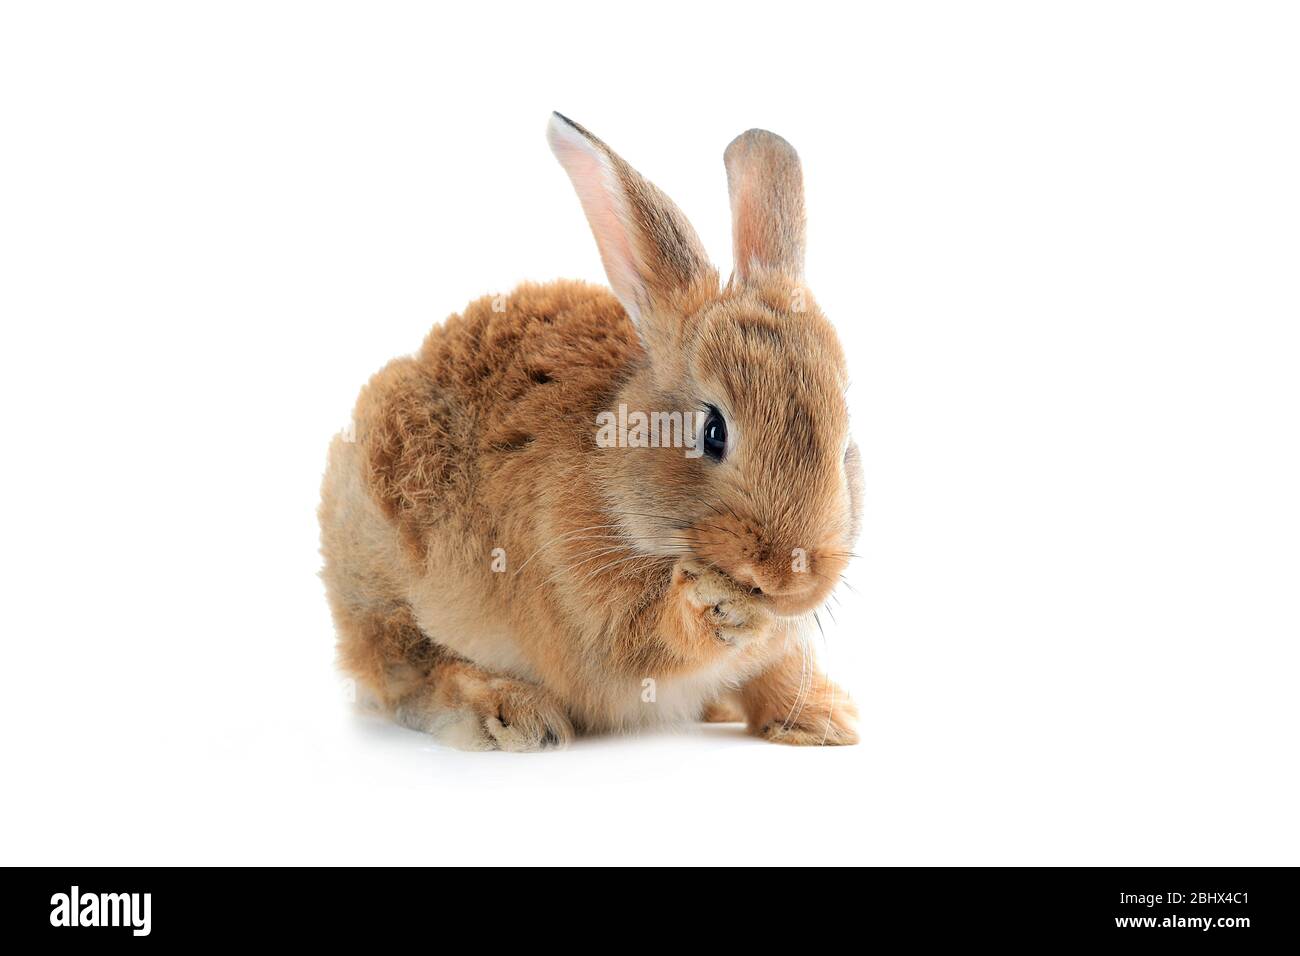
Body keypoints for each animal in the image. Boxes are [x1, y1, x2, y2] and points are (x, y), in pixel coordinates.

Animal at [318, 113, 863, 751]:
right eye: (713, 432)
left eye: (843, 441)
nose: (792, 576)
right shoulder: (590, 612)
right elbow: (653, 640)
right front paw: (714, 610)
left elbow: (776, 668)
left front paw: (824, 721)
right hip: (388, 582)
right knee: (412, 670)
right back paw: (510, 713)